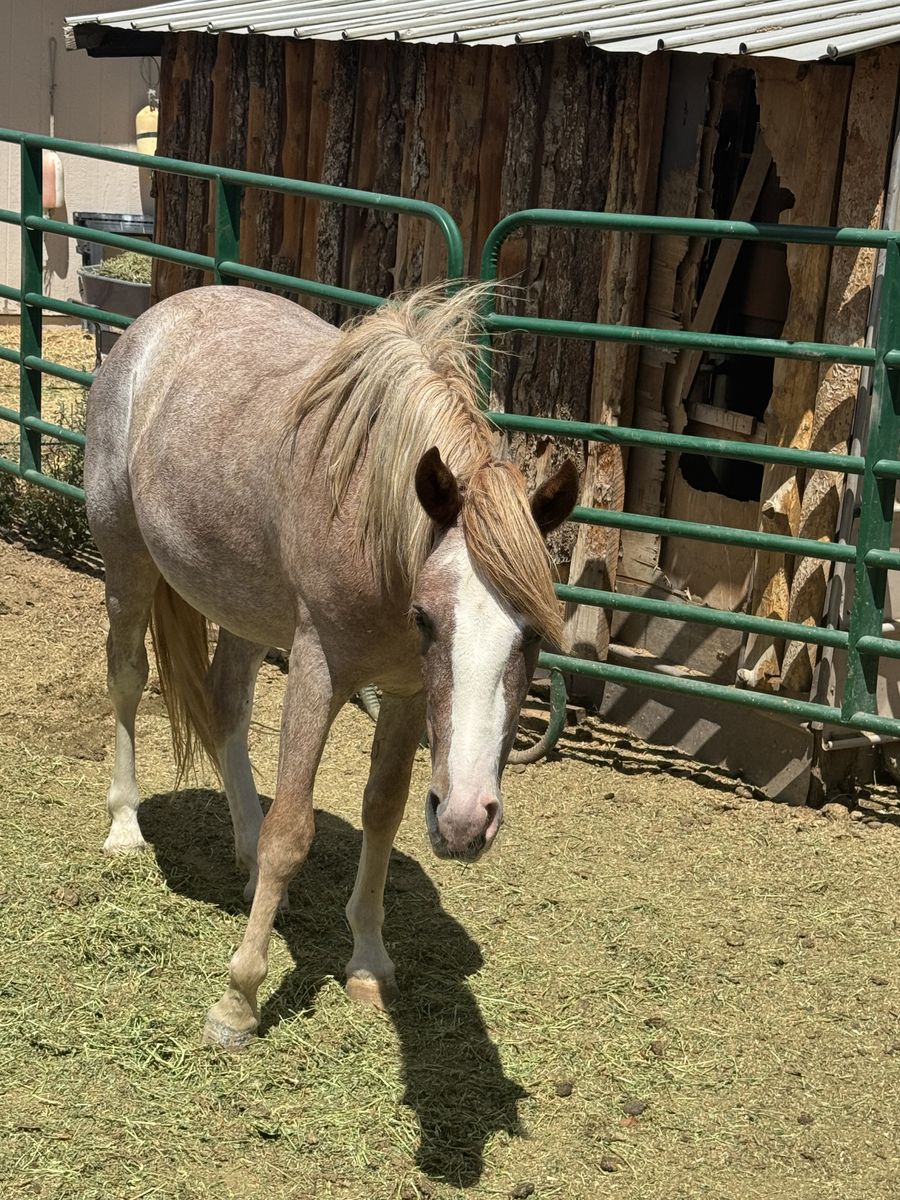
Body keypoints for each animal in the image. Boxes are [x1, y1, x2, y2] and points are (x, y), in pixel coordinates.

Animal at [84, 281, 578, 1049]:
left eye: (531, 634)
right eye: (428, 618)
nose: (467, 822)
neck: (375, 529)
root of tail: (156, 319)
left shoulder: (405, 695)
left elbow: (384, 812)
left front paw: (369, 962)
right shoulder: (317, 670)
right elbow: (292, 829)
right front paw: (238, 1000)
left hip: (245, 611)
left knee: (225, 706)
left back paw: (246, 862)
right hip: (127, 564)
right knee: (129, 680)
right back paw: (125, 828)